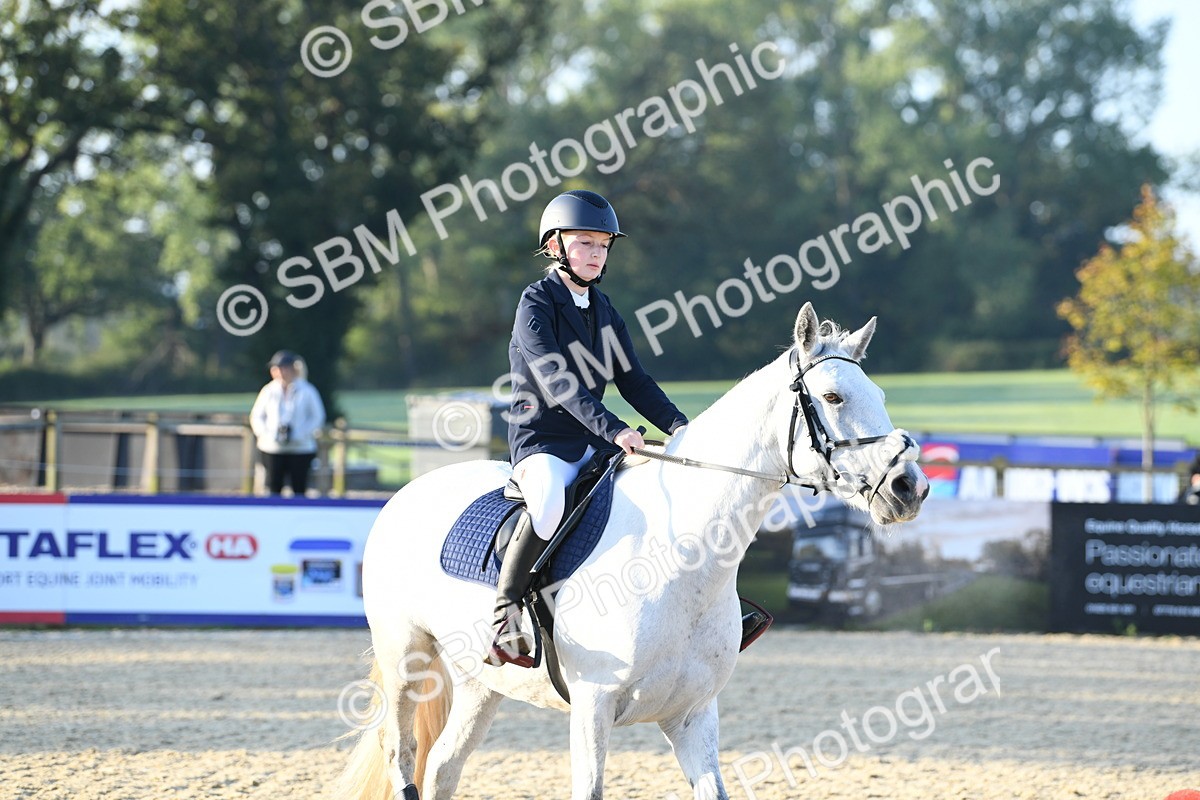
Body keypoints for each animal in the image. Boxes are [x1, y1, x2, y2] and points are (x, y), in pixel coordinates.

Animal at [333, 301, 929, 800]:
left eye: (879, 396)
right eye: (832, 398)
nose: (910, 487)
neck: (682, 562)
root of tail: (403, 495)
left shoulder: (693, 716)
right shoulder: (592, 709)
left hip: (482, 682)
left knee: (442, 767)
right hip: (405, 658)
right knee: (403, 753)